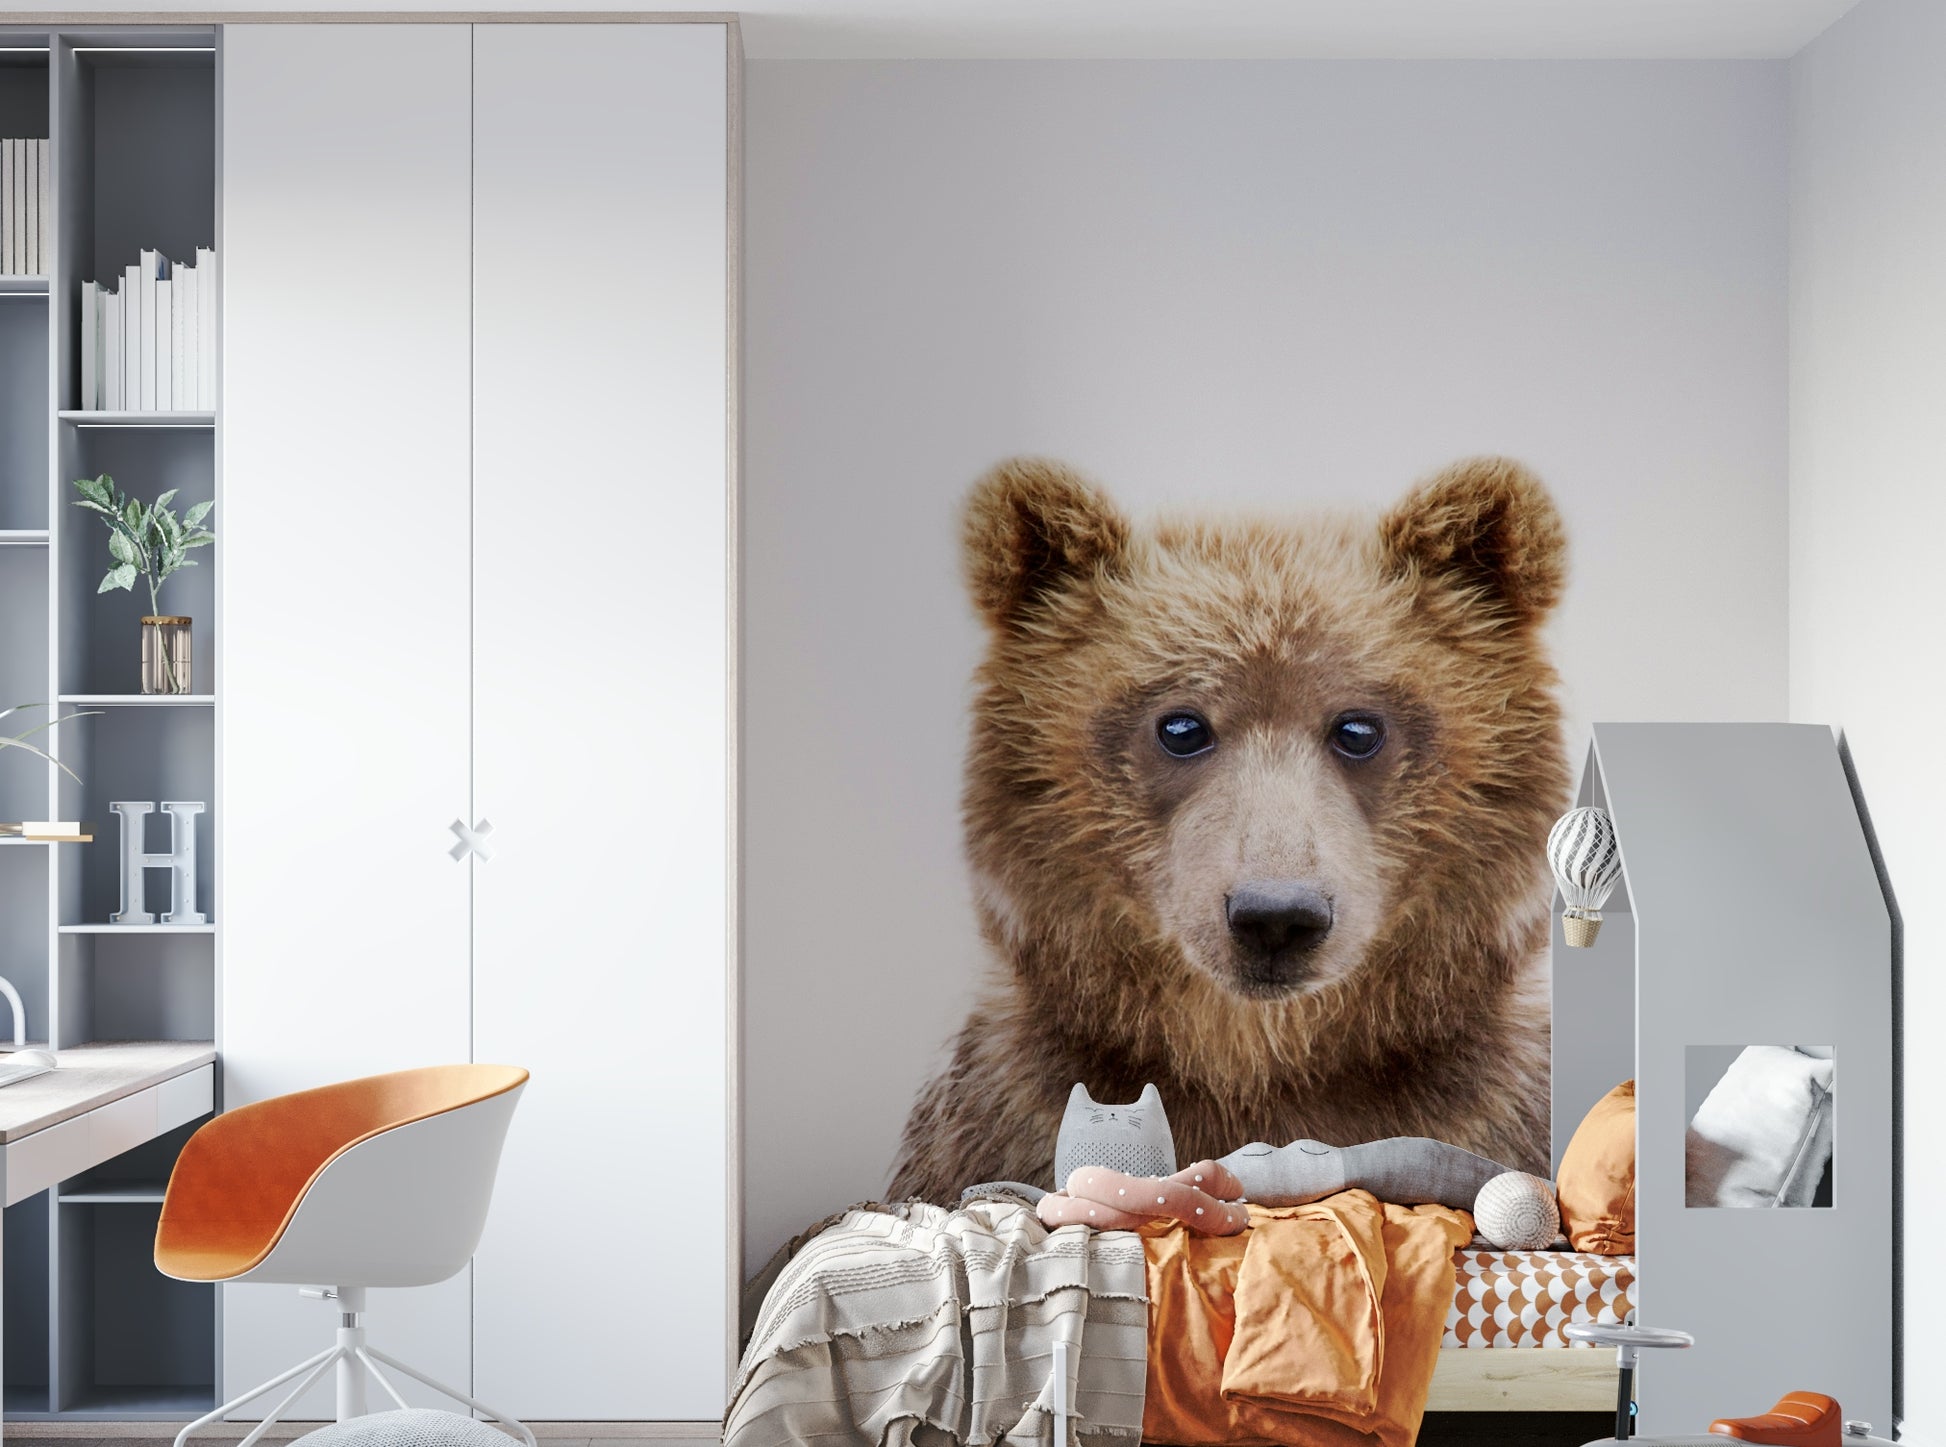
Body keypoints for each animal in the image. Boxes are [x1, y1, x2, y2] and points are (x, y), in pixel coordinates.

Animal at [887, 455, 1572, 1203]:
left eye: (1359, 727)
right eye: (1182, 725)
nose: (1275, 916)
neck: (1258, 1062)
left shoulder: (1497, 1108)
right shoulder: (996, 1116)